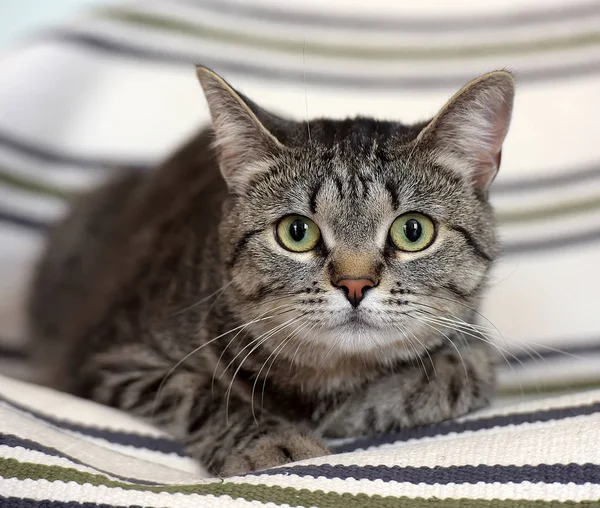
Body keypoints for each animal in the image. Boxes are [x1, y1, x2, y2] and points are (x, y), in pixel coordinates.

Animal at [28, 66, 516, 476]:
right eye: (296, 232)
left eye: (413, 230)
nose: (354, 283)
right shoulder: (110, 359)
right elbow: (202, 394)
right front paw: (273, 440)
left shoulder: (474, 348)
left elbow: (455, 374)